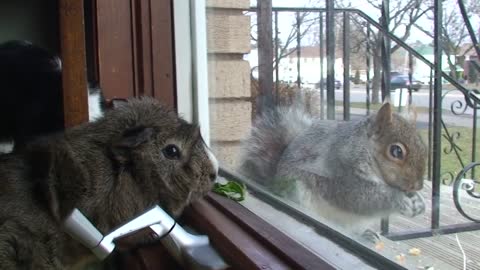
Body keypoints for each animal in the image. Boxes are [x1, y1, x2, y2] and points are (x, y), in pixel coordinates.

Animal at [240, 101, 428, 238]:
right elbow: (359, 197)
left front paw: (419, 202)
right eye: (396, 151)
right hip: (297, 191)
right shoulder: (340, 173)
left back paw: (365, 235)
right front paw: (399, 199)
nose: (417, 186)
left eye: (423, 145)